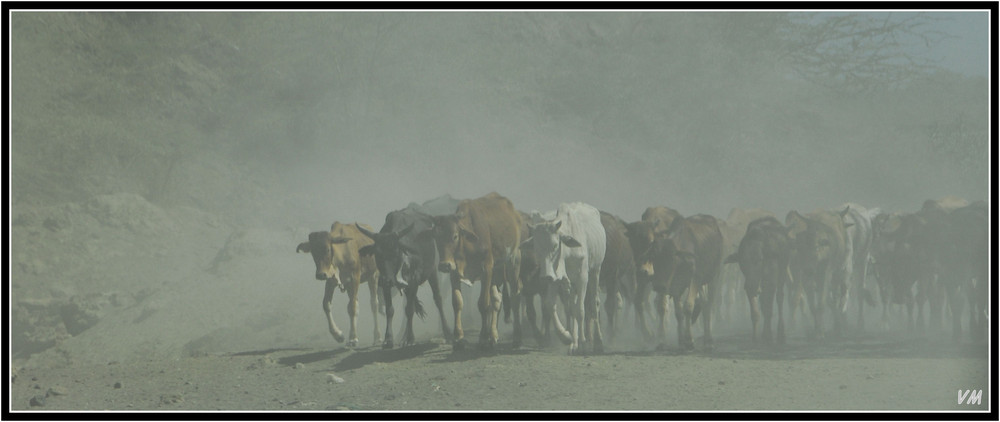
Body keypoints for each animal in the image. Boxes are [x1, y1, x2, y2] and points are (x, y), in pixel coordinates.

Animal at [430, 193, 524, 352]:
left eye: (455, 236)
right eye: (436, 238)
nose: (444, 265)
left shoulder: (486, 269)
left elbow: (483, 304)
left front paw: (483, 338)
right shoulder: (454, 274)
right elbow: (457, 303)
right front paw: (459, 338)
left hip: (513, 259)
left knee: (515, 296)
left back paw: (517, 337)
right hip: (496, 272)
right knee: (497, 299)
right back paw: (494, 335)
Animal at [528, 203, 604, 354]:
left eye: (555, 246)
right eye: (536, 249)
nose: (545, 277)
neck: (567, 254)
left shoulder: (582, 279)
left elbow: (580, 310)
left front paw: (583, 344)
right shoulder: (555, 279)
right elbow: (550, 305)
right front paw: (567, 337)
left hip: (595, 271)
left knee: (594, 304)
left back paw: (597, 342)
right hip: (571, 284)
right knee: (571, 307)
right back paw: (573, 342)